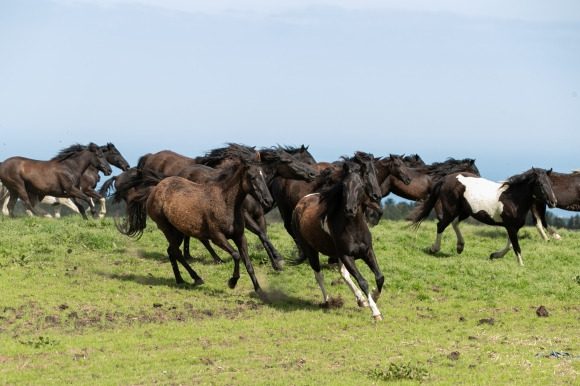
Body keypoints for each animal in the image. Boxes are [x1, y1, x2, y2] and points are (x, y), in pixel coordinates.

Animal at [116, 146, 276, 296]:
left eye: (264, 175)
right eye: (252, 177)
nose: (268, 200)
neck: (225, 202)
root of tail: (156, 189)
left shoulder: (240, 237)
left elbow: (248, 263)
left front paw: (259, 290)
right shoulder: (217, 237)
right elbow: (236, 255)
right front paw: (232, 282)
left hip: (178, 231)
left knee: (171, 251)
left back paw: (180, 280)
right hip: (166, 227)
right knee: (176, 252)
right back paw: (196, 278)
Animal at [290, 159, 386, 320]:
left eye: (360, 186)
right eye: (344, 186)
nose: (350, 209)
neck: (354, 229)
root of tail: (302, 202)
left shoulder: (367, 251)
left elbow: (379, 277)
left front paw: (374, 297)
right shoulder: (346, 256)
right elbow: (363, 281)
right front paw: (376, 312)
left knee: (343, 273)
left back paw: (361, 300)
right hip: (311, 250)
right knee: (319, 275)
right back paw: (328, 301)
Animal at [408, 168, 556, 266]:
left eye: (551, 184)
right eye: (541, 184)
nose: (553, 202)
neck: (513, 199)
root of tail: (446, 179)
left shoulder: (514, 227)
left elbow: (510, 246)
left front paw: (494, 255)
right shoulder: (510, 226)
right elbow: (516, 247)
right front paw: (521, 266)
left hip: (465, 211)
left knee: (454, 223)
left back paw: (460, 246)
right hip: (451, 209)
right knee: (441, 225)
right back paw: (434, 249)